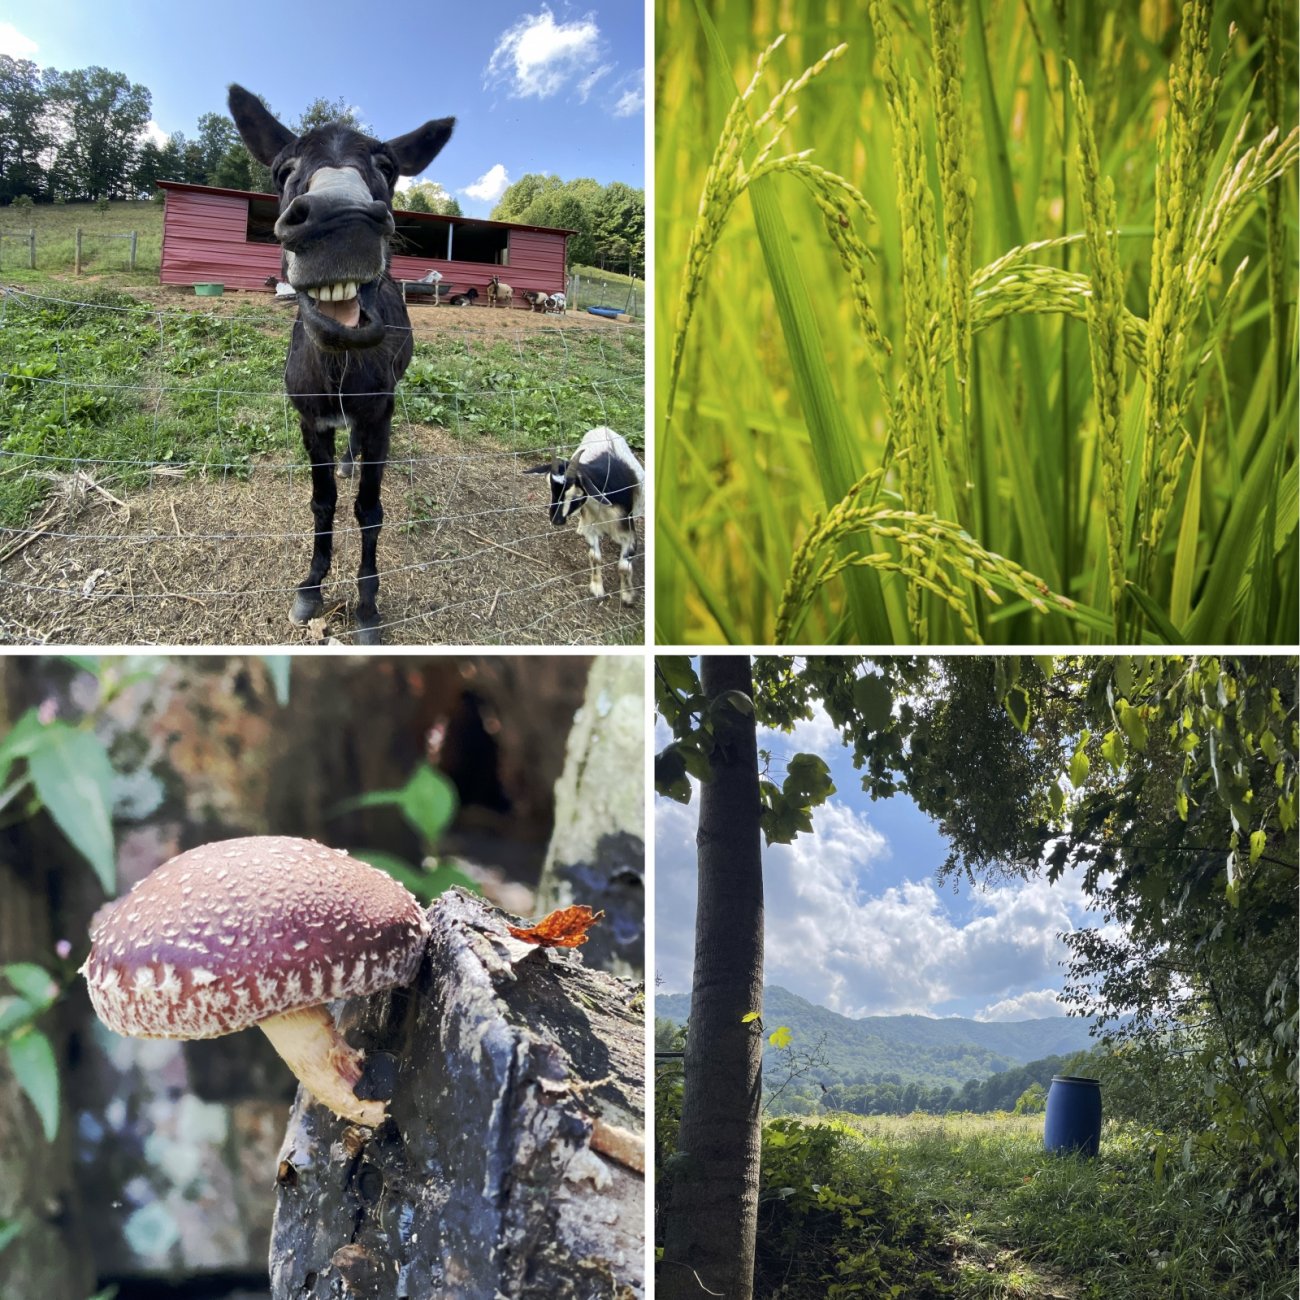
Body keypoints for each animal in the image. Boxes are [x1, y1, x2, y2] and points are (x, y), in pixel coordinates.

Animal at [525, 428, 642, 605]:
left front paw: (627, 596)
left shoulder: (628, 532)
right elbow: (594, 557)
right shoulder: (591, 528)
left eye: (576, 495)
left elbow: (624, 567)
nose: (556, 520)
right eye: (550, 488)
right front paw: (597, 588)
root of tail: (602, 428)